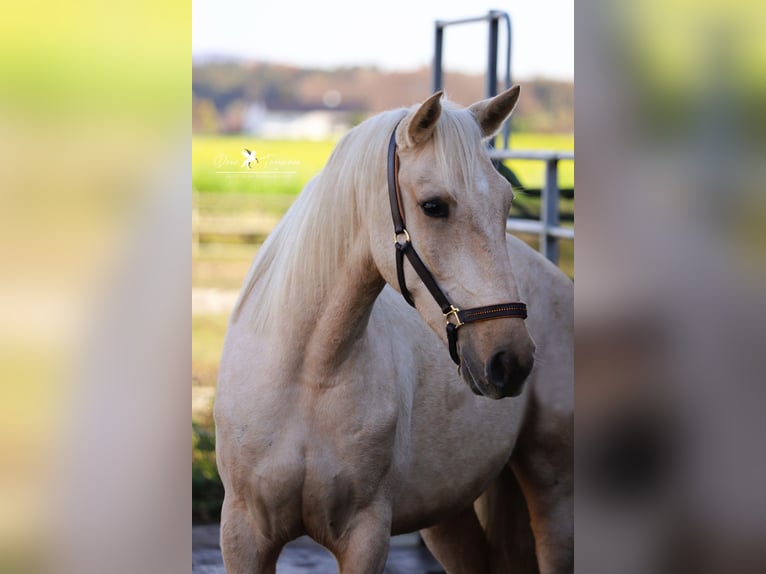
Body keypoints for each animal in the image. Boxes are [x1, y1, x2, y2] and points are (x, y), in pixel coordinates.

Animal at [213, 86, 572, 574]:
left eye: (506, 205)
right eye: (434, 207)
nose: (511, 360)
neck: (307, 376)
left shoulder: (365, 535)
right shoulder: (244, 534)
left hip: (554, 493)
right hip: (448, 512)